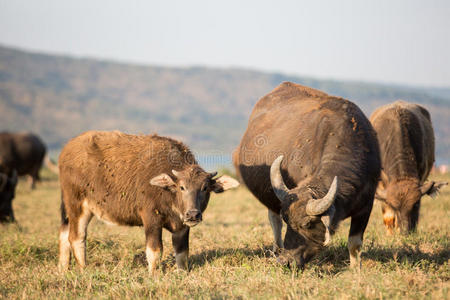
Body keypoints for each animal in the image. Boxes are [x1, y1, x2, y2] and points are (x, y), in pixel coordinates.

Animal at [58, 131, 241, 274]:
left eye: (205, 188)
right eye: (182, 187)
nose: (193, 214)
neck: (169, 195)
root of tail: (66, 151)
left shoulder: (181, 226)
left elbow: (182, 253)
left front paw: (182, 273)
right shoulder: (151, 219)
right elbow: (155, 250)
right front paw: (153, 274)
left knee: (64, 234)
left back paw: (63, 269)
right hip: (77, 206)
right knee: (76, 237)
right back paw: (83, 269)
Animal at [234, 81, 382, 268]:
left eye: (307, 224)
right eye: (287, 219)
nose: (286, 262)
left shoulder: (366, 205)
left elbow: (354, 243)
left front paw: (356, 269)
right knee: (274, 222)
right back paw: (277, 250)